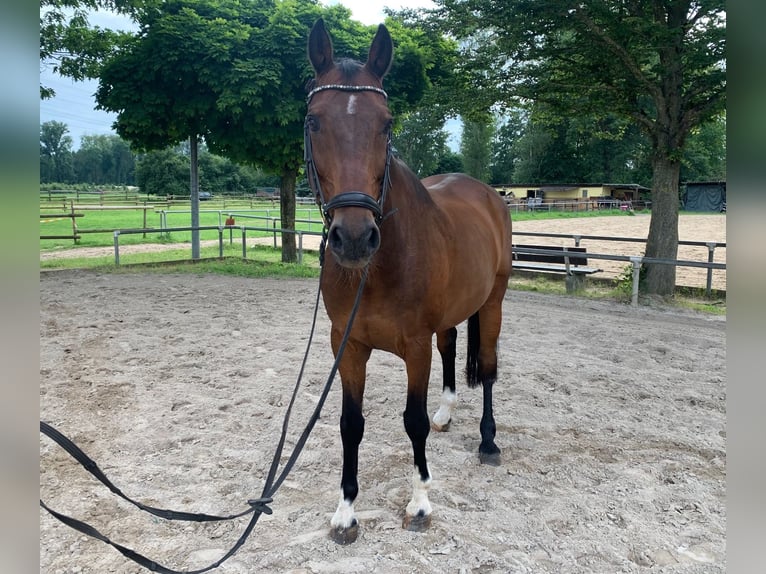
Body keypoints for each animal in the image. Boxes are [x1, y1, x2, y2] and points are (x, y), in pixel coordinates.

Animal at [306, 20, 516, 548]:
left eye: (386, 122)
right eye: (314, 121)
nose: (354, 237)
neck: (378, 268)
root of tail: (487, 193)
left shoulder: (414, 347)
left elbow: (412, 421)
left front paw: (420, 502)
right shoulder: (348, 345)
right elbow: (350, 424)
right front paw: (346, 512)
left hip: (494, 302)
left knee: (487, 369)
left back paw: (488, 441)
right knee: (452, 346)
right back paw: (448, 412)